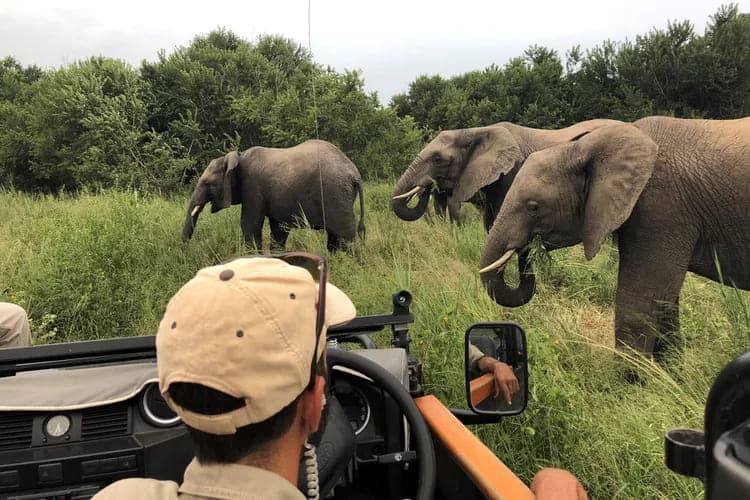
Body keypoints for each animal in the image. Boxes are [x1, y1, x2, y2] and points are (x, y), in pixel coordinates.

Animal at [182, 139, 366, 252]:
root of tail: (355, 173)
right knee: (335, 237)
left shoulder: (252, 186)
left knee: (344, 236)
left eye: (207, 183)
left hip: (336, 194)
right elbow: (278, 229)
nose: (185, 251)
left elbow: (249, 225)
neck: (238, 156)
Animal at [479, 117, 750, 361]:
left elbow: (639, 306)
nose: (527, 248)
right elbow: (665, 306)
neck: (587, 147)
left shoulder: (662, 210)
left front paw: (633, 383)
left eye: (533, 206)